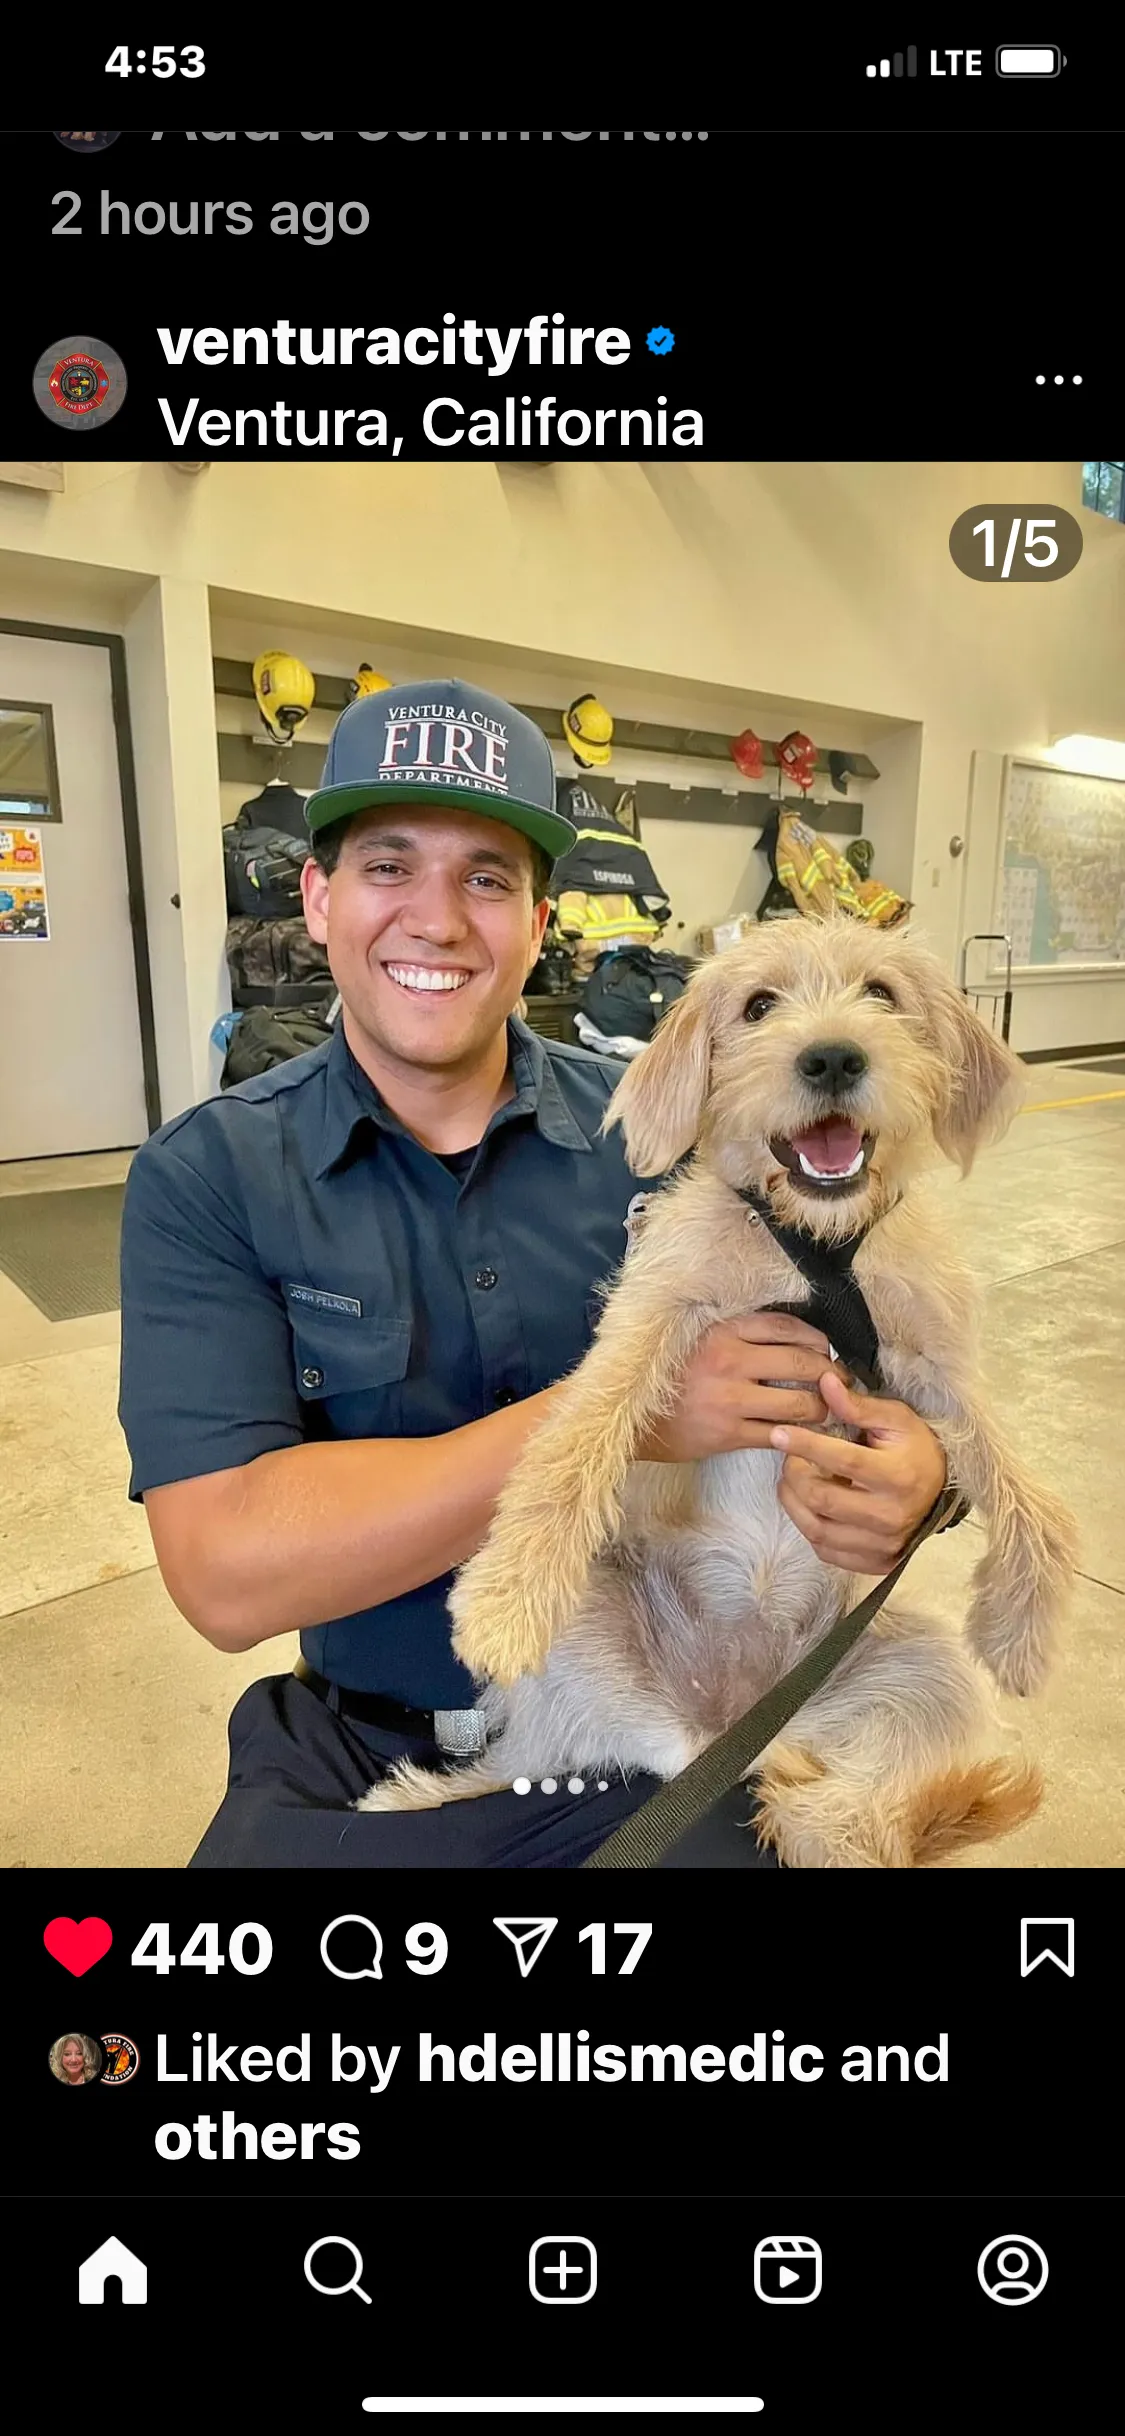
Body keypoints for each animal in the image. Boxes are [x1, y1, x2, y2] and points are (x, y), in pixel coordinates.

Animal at [362, 915, 1081, 1861]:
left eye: (881, 993)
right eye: (758, 1005)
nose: (831, 1057)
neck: (812, 1247)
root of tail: (708, 1738)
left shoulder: (935, 1366)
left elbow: (1033, 1496)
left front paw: (1022, 1632)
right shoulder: (652, 1318)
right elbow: (570, 1444)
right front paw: (505, 1599)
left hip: (923, 1673)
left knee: (854, 1810)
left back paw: (812, 1814)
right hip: (587, 1624)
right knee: (520, 1756)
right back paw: (408, 1799)